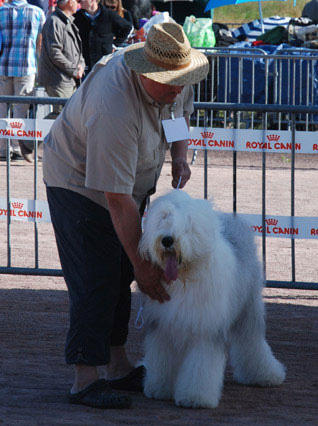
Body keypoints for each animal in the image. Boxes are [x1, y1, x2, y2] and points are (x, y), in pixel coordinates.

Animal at [139, 191, 286, 410]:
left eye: (187, 223)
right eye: (164, 217)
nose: (167, 240)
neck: (185, 278)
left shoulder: (206, 328)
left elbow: (201, 365)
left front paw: (195, 397)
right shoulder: (162, 327)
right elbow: (162, 359)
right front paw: (159, 389)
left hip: (248, 308)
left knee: (252, 342)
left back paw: (267, 375)